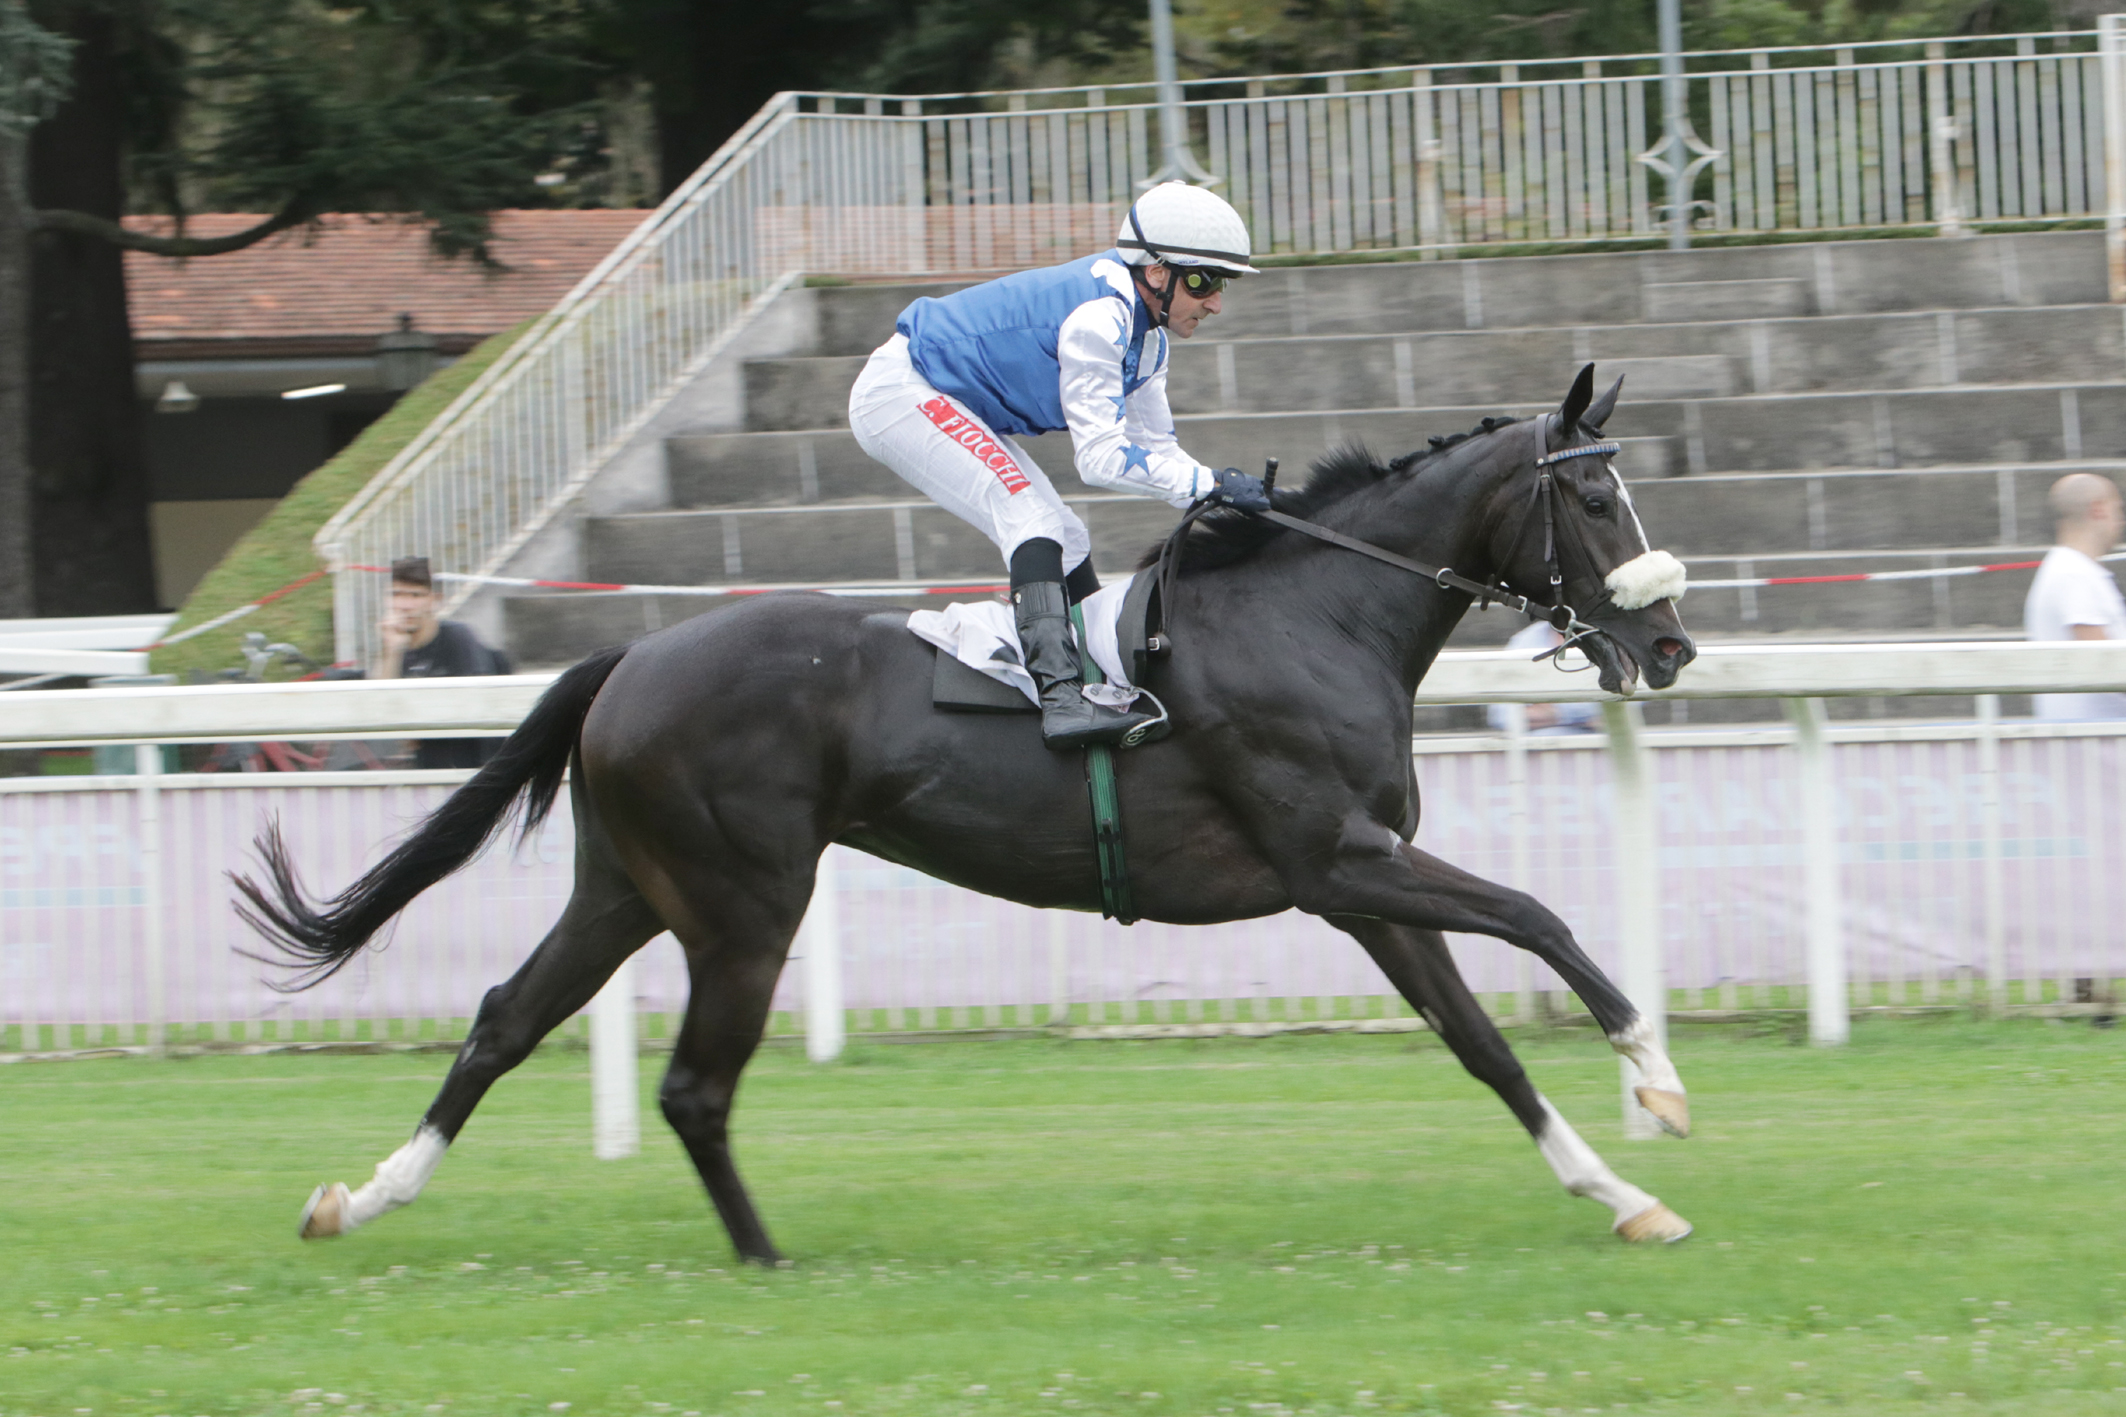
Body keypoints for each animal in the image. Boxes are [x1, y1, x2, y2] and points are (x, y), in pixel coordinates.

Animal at [237, 365, 1692, 1266]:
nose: (1669, 642)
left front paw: (1623, 1196)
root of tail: (632, 656)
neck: (1314, 612)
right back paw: (765, 1258)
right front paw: (1655, 1078)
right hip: (743, 904)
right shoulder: (1338, 859)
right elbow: (1538, 914)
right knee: (695, 1084)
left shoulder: (1360, 884)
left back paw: (357, 1199)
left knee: (502, 1021)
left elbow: (1482, 1047)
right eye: (1594, 495)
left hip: (625, 887)